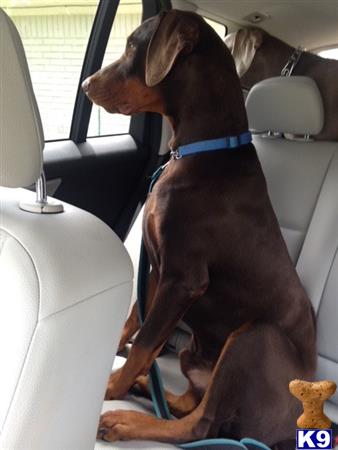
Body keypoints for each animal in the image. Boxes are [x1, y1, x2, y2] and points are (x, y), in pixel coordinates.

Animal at [82, 7, 316, 446]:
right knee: (192, 404)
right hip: (196, 350)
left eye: (133, 46)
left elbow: (144, 342)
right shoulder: (159, 269)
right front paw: (118, 370)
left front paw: (109, 388)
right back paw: (147, 387)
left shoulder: (184, 278)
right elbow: (135, 323)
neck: (201, 151)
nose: (86, 84)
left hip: (254, 339)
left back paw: (125, 419)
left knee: (201, 424)